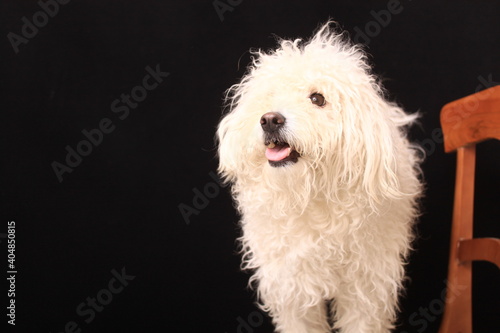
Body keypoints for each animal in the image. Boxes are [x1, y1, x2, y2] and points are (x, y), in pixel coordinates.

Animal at [218, 23, 422, 332]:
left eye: (317, 98)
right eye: (269, 96)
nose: (270, 119)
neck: (313, 198)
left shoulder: (367, 289)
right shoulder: (293, 288)